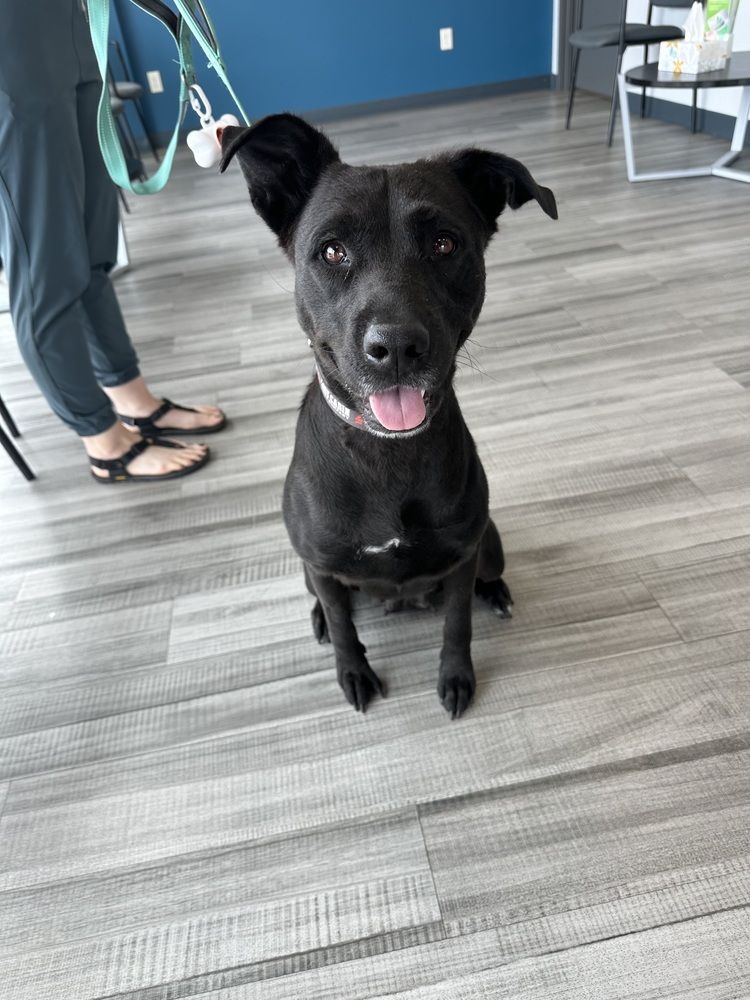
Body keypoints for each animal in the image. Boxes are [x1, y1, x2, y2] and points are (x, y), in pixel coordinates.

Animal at [220, 113, 556, 716]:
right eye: (332, 252)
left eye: (445, 243)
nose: (396, 346)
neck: (386, 452)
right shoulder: (323, 566)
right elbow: (344, 626)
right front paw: (353, 669)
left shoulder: (462, 556)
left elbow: (457, 623)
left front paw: (456, 675)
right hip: (307, 571)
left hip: (489, 543)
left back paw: (495, 592)